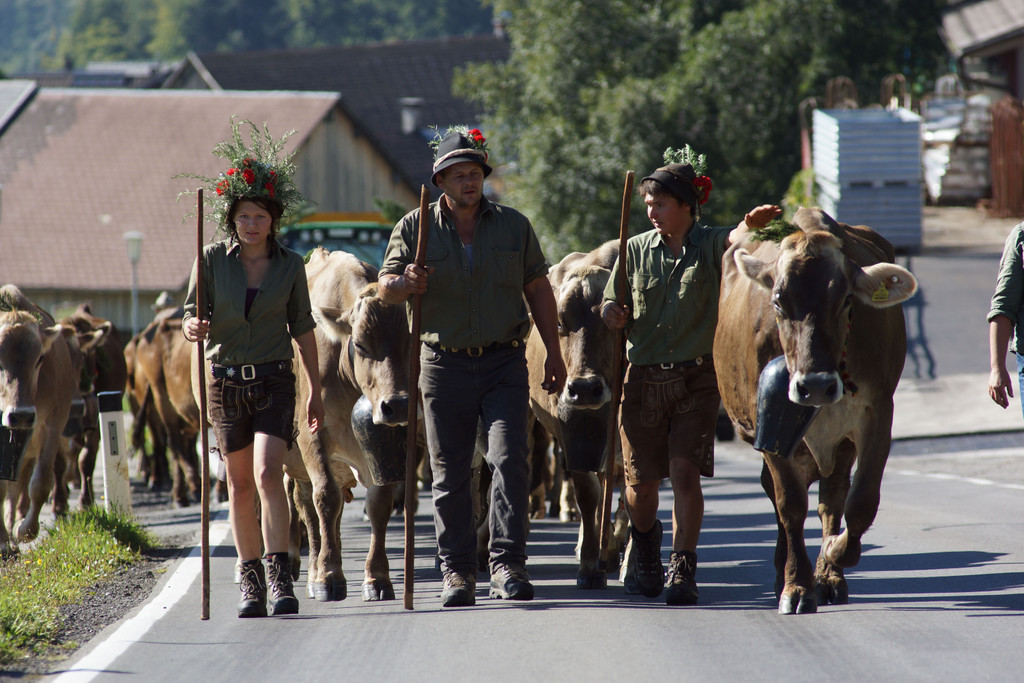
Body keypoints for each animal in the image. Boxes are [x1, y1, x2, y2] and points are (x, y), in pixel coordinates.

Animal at [0, 286, 74, 552]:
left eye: (40, 358)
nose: (21, 414)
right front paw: (3, 541)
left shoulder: (52, 425)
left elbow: (41, 483)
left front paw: (25, 530)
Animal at [284, 249, 411, 602]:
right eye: (362, 344)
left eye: (409, 343)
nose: (398, 404)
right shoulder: (311, 437)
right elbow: (325, 498)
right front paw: (328, 575)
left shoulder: (380, 446)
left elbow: (379, 504)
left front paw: (377, 577)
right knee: (306, 508)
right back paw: (311, 569)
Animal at [524, 240, 626, 589]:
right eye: (558, 323)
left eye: (611, 321)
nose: (584, 389)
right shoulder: (575, 435)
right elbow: (589, 494)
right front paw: (590, 564)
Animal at [712, 208, 921, 614]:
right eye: (778, 301)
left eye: (845, 299)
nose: (817, 386)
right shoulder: (770, 426)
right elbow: (790, 505)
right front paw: (796, 586)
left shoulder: (876, 415)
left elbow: (860, 502)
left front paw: (833, 553)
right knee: (781, 498)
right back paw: (788, 573)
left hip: (840, 445)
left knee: (832, 500)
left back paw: (828, 576)